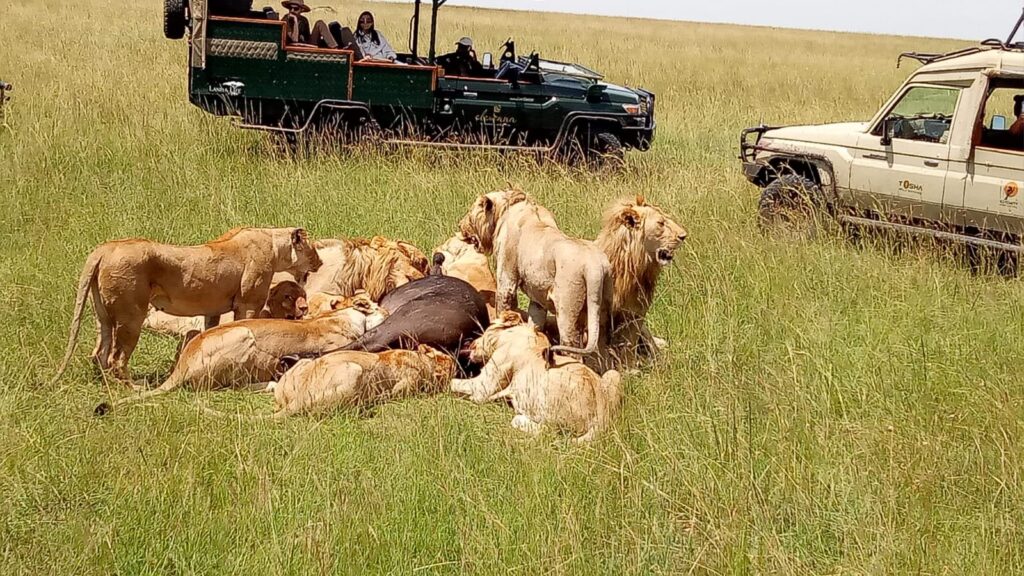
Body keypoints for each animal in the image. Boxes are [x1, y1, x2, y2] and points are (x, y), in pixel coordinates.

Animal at [49, 226, 321, 383]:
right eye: (312, 248)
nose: (319, 263)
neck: (273, 244)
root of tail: (104, 248)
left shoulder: (213, 310)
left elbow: (209, 331)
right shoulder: (248, 303)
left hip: (103, 315)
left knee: (99, 353)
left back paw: (102, 383)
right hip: (131, 315)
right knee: (117, 358)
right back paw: (131, 387)